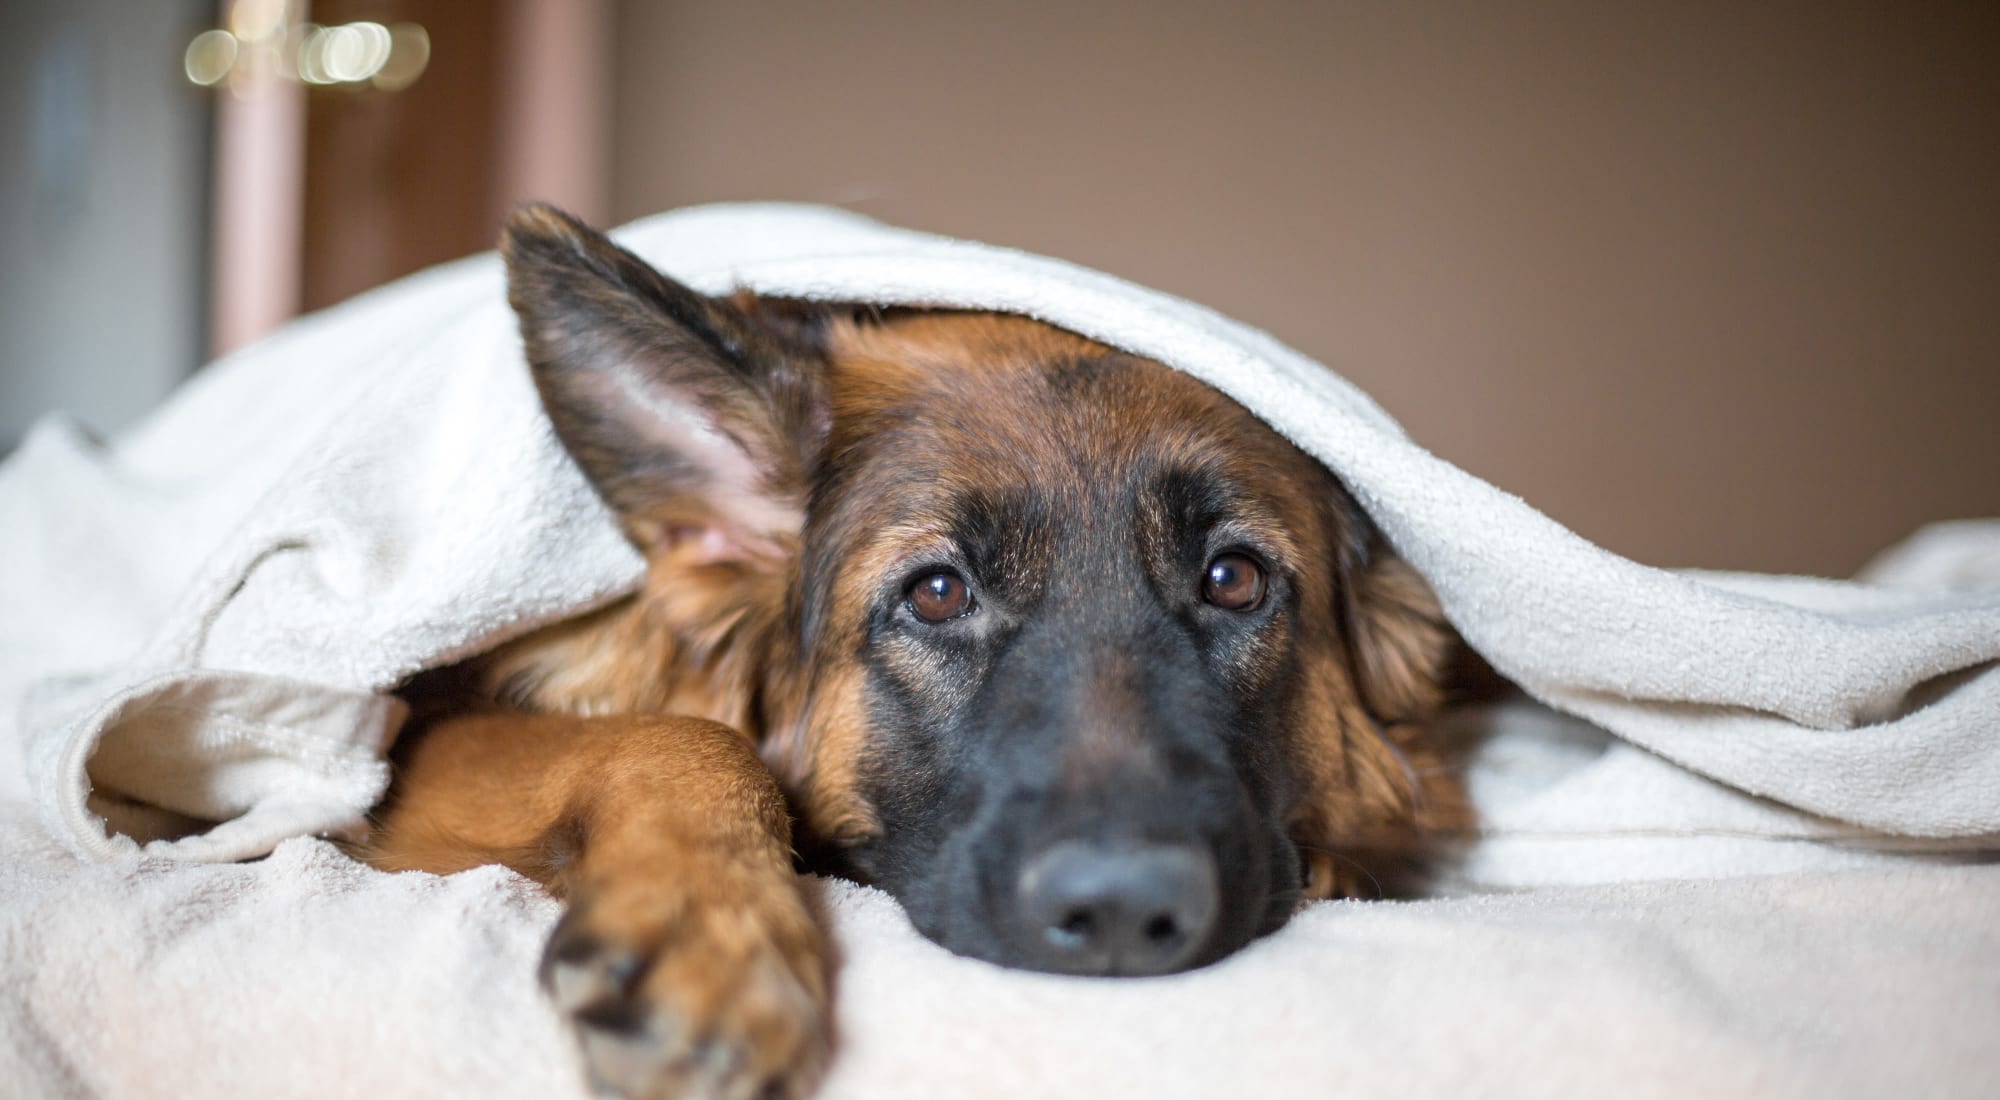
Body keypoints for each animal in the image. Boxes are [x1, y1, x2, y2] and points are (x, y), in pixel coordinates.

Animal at [360, 209, 1464, 1100]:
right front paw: (708, 927)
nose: (1122, 911)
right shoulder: (412, 752)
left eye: (1233, 579)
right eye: (937, 594)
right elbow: (683, 735)